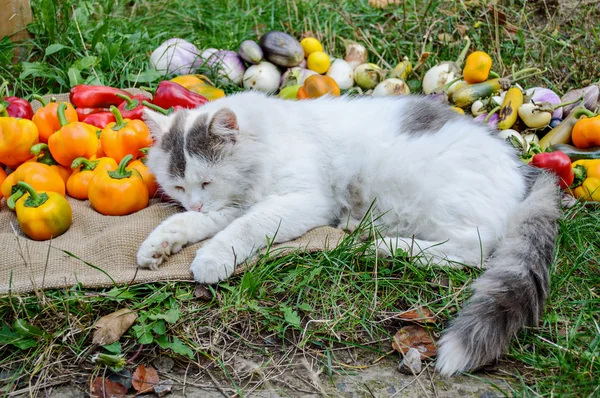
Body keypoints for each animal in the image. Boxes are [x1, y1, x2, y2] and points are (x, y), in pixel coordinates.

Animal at [138, 90, 560, 376]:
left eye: (207, 182)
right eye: (178, 187)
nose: (195, 203)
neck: (265, 147)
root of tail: (526, 169)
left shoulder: (302, 200)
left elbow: (245, 227)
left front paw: (212, 259)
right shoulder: (230, 206)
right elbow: (186, 224)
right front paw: (157, 247)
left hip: (436, 197)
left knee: (474, 250)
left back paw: (387, 246)